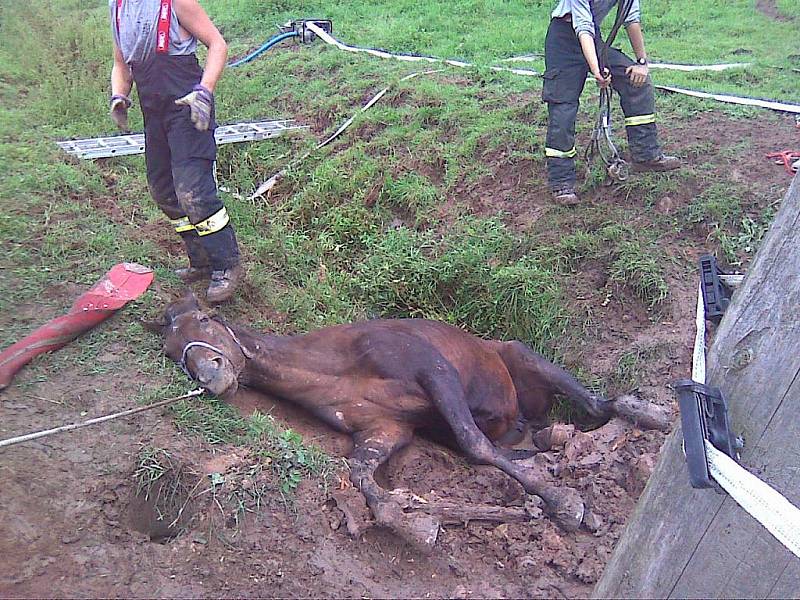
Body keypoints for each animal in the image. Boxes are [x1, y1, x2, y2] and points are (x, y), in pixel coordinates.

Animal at [145, 296, 668, 548]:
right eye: (172, 352)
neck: (335, 366)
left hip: (523, 358)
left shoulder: (434, 372)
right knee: (540, 435)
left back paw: (650, 413)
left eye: (206, 320)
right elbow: (361, 475)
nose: (211, 375)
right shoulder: (384, 429)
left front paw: (565, 502)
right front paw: (411, 522)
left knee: (597, 406)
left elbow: (475, 445)